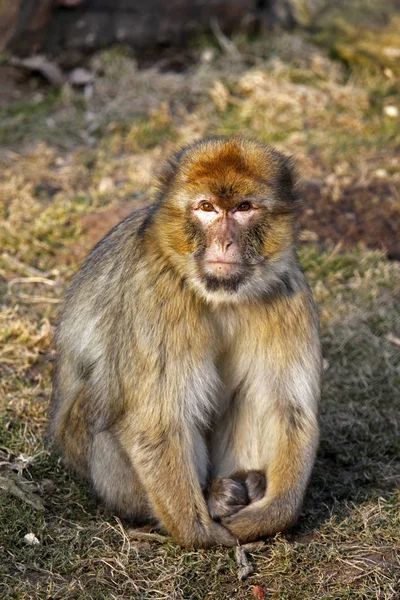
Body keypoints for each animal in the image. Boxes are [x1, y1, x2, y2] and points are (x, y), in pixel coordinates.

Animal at [49, 137, 322, 548]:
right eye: (206, 208)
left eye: (243, 208)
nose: (224, 242)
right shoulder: (158, 293)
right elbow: (157, 421)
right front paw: (202, 533)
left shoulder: (286, 291)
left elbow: (287, 409)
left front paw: (272, 514)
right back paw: (212, 498)